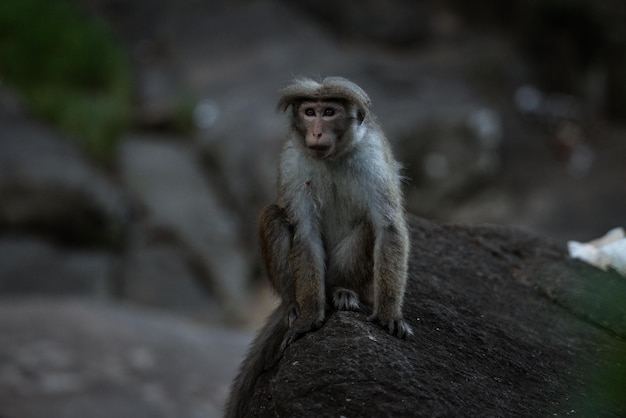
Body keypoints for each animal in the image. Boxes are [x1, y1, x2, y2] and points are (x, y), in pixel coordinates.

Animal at [224, 76, 410, 418]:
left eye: (329, 112)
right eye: (310, 112)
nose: (317, 132)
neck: (333, 158)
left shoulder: (373, 155)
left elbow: (388, 226)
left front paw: (389, 311)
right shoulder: (292, 159)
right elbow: (304, 232)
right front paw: (309, 315)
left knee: (367, 225)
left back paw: (344, 291)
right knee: (274, 216)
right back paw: (294, 304)